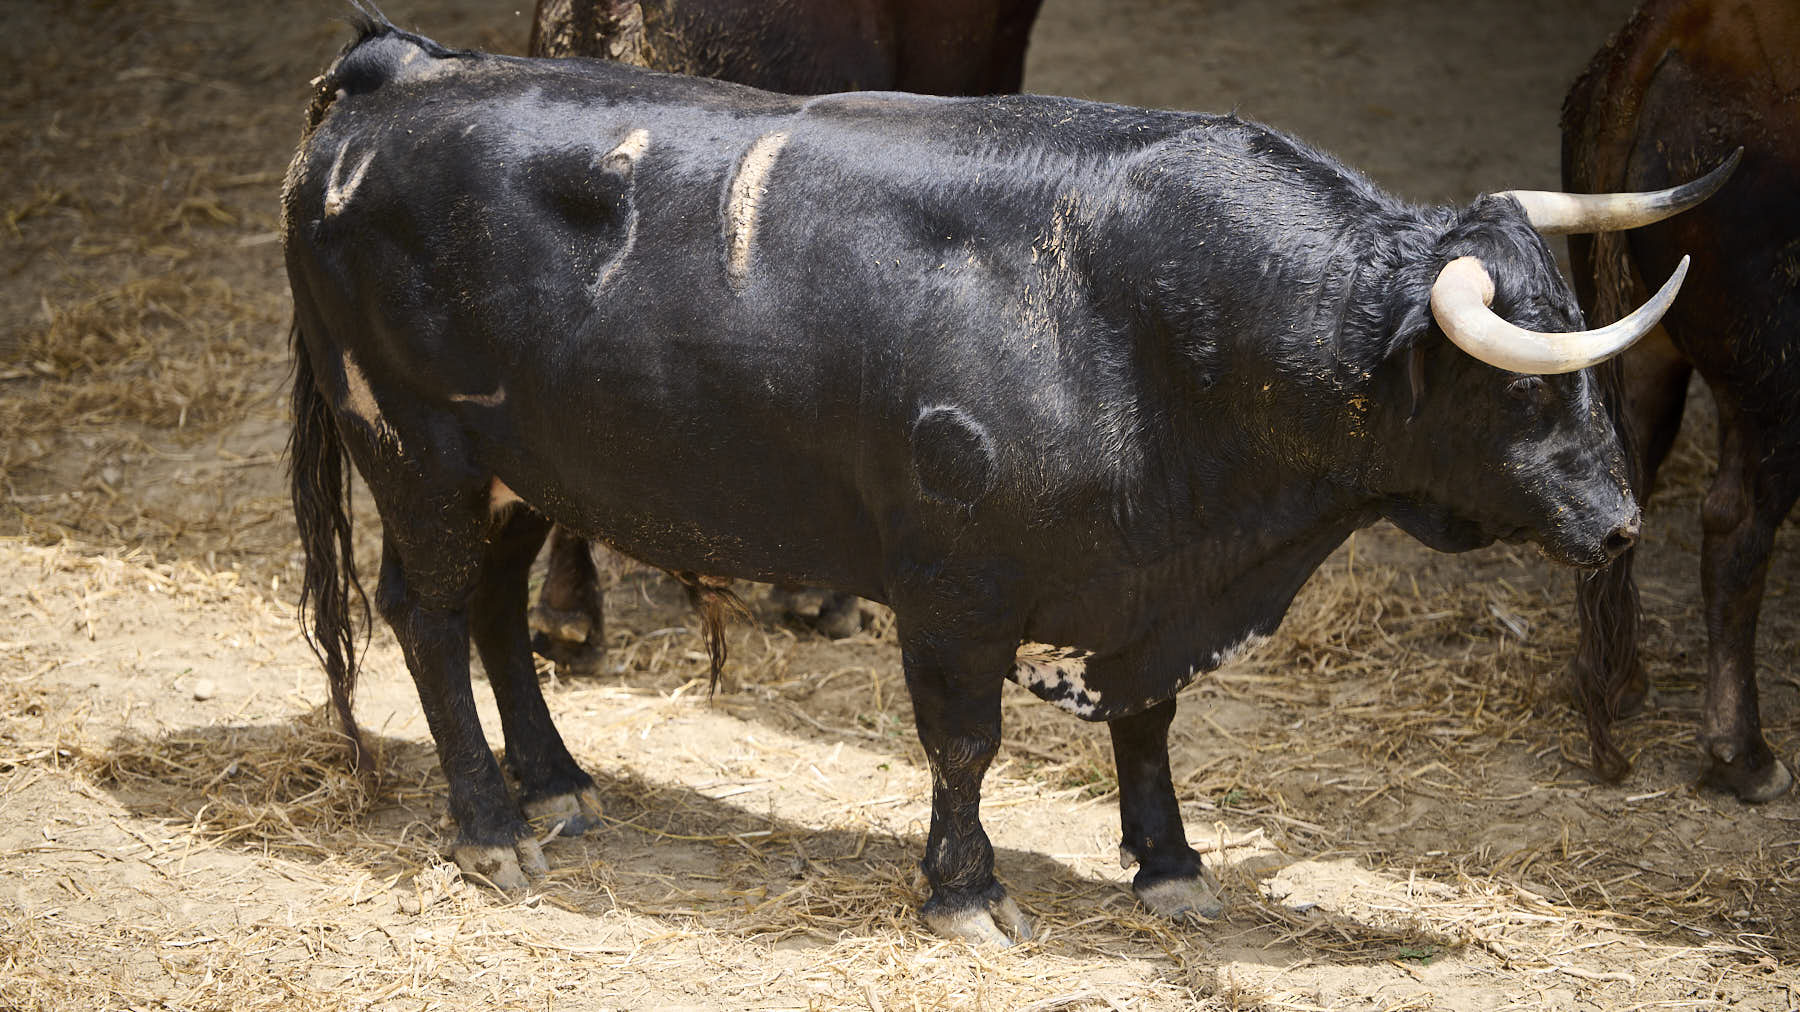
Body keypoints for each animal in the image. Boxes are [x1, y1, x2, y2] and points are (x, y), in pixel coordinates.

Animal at [288, 23, 1706, 936]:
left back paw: (559, 785)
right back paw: (491, 827)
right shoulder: (954, 590)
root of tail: (398, 68)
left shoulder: (1147, 584)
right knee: (425, 614)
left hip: (522, 472)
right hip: (415, 451)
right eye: (1523, 387)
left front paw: (1170, 865)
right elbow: (965, 742)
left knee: (490, 609)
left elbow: (1149, 720)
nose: (1622, 525)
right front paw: (966, 890)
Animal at [1562, 0, 1800, 799]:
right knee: (1736, 525)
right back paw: (1743, 755)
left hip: (1637, 332)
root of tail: (1685, 21)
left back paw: (1616, 680)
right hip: (1777, 379)